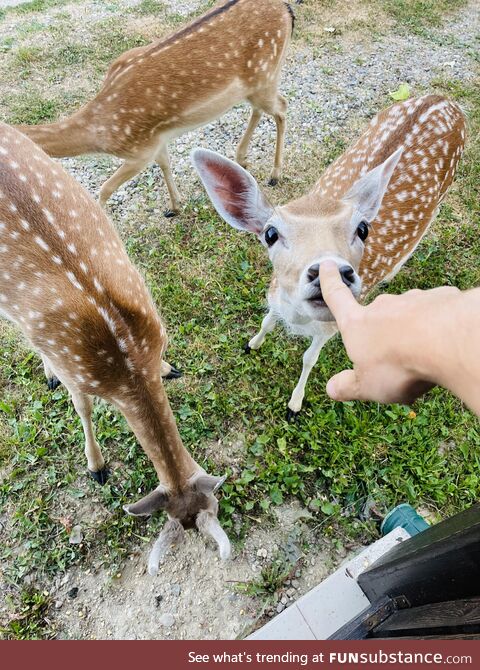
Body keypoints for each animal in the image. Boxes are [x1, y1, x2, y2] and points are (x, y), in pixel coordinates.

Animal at [15, 0, 292, 218]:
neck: (98, 131)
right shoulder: (156, 141)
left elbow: (104, 189)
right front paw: (175, 207)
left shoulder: (140, 151)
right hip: (258, 83)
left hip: (265, 75)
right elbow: (165, 164)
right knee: (262, 109)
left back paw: (275, 174)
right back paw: (241, 157)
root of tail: (287, 10)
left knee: (282, 106)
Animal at [193, 94, 466, 420]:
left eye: (363, 229)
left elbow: (309, 358)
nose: (331, 271)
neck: (298, 320)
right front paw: (252, 344)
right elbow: (267, 321)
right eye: (270, 234)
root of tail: (445, 100)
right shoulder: (275, 295)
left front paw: (294, 405)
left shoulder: (332, 327)